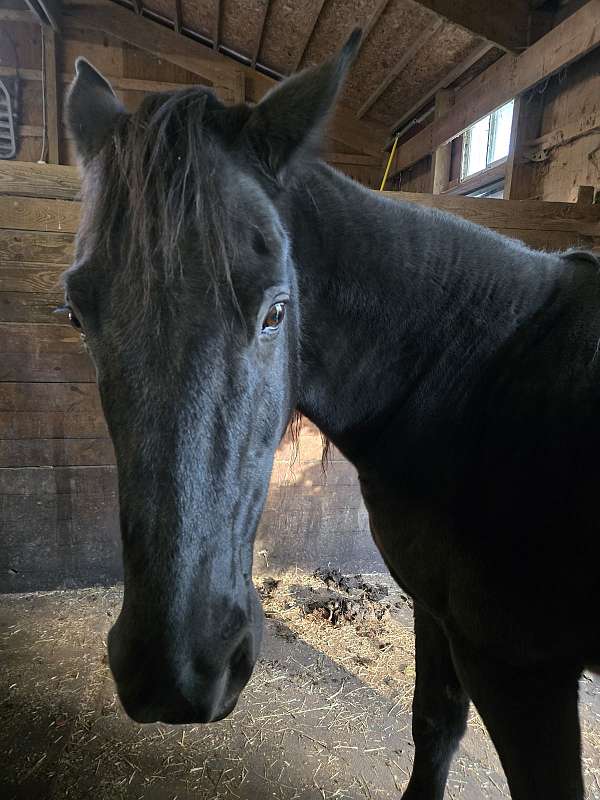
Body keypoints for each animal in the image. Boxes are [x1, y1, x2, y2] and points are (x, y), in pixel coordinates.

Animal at [64, 32, 600, 800]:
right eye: (75, 314)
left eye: (275, 311)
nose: (174, 673)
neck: (483, 373)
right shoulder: (439, 616)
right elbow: (435, 726)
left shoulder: (521, 672)